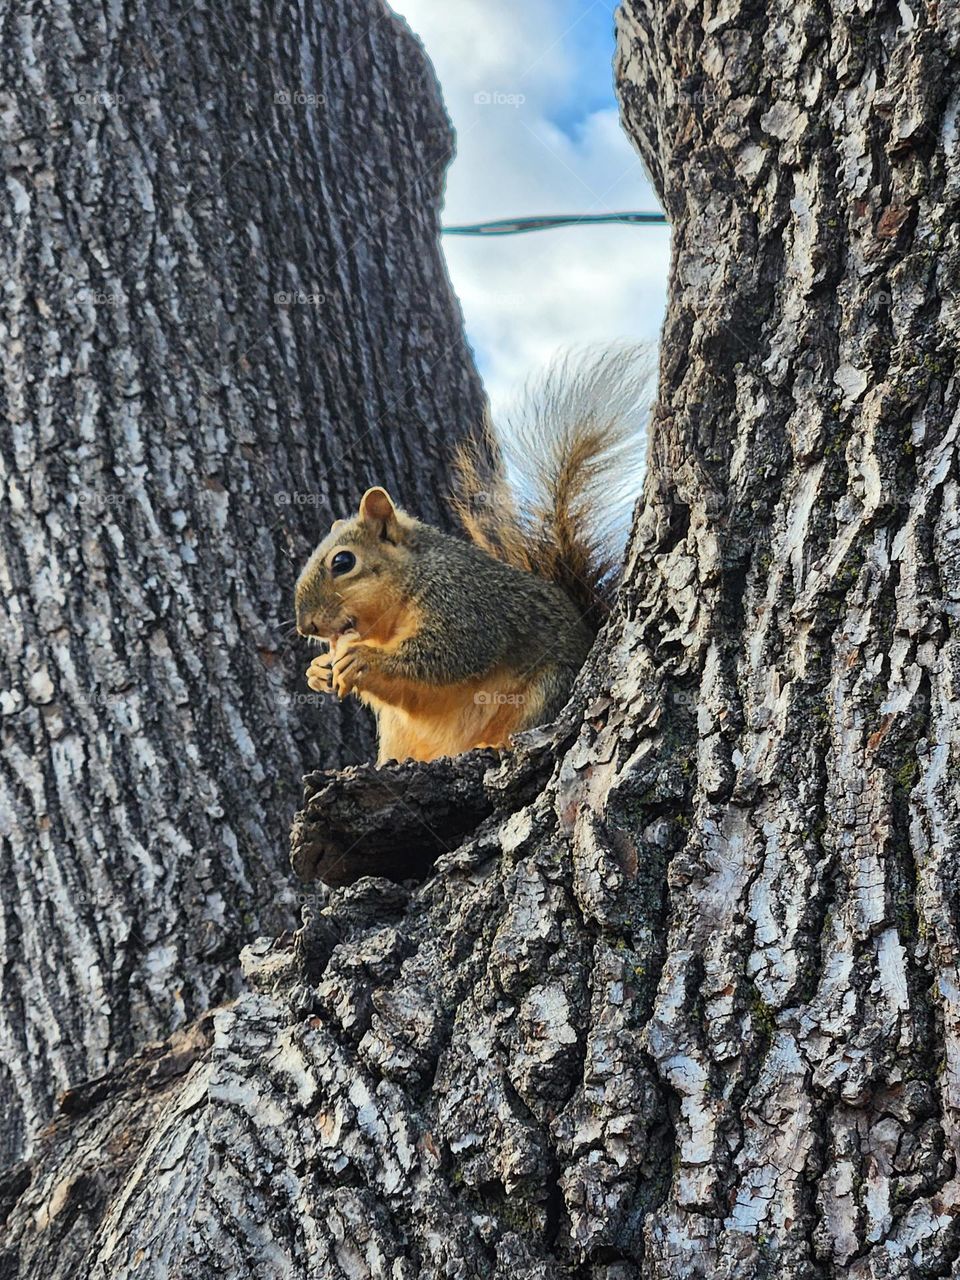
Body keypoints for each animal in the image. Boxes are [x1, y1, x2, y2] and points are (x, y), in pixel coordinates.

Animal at [295, 347, 649, 765]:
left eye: (342, 562)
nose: (305, 626)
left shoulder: (463, 604)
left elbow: (451, 654)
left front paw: (364, 659)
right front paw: (318, 671)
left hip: (548, 689)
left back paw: (492, 744)